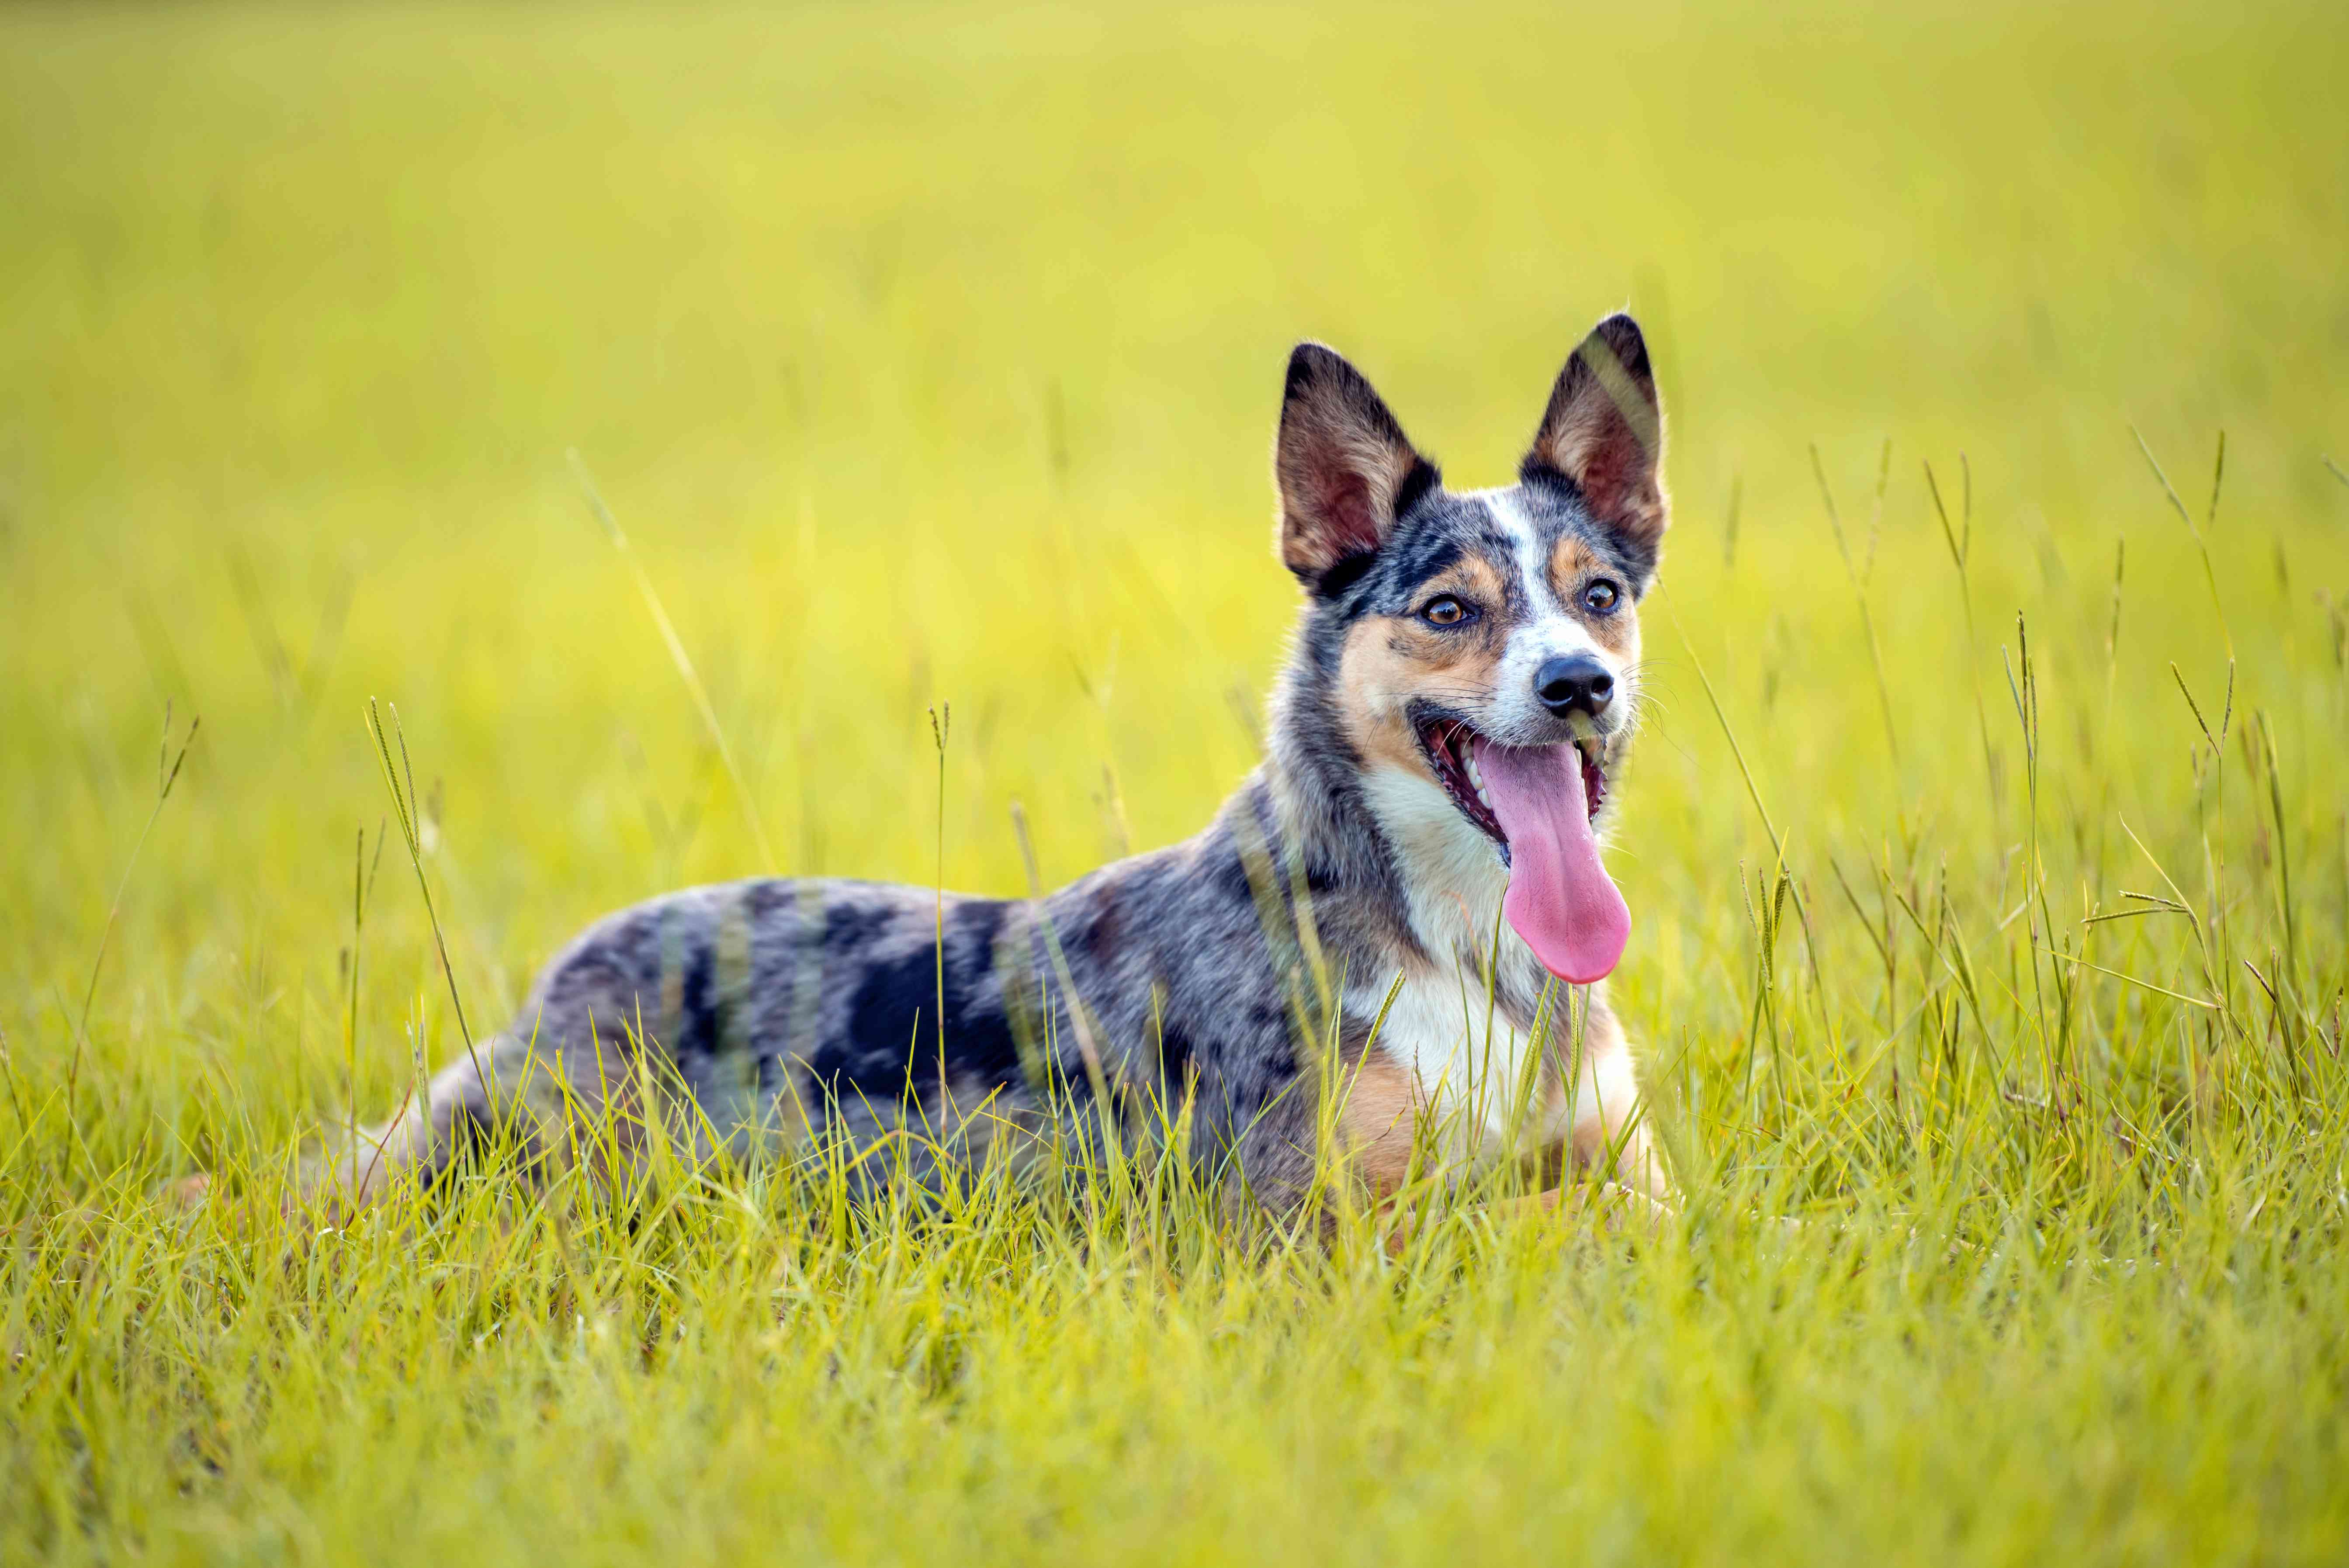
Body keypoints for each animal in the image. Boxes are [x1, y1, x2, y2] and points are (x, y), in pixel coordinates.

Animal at [294, 314, 1682, 1239]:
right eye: (1450, 610)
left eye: (1599, 596)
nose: (1578, 685)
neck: (1463, 947)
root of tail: (548, 993)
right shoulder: (1312, 1233)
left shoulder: (1635, 1181)